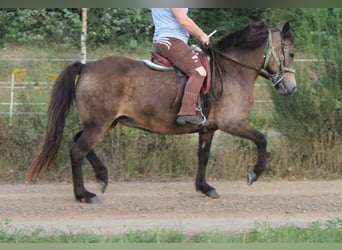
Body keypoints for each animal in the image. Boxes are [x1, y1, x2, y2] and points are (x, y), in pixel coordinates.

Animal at [28, 20, 296, 203]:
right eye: (291, 53)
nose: (291, 88)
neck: (232, 71)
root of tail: (86, 66)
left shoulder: (208, 128)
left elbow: (203, 156)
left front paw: (205, 187)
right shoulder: (233, 122)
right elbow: (262, 139)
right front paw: (254, 173)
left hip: (103, 123)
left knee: (79, 143)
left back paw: (102, 177)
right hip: (99, 124)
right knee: (77, 151)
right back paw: (84, 194)